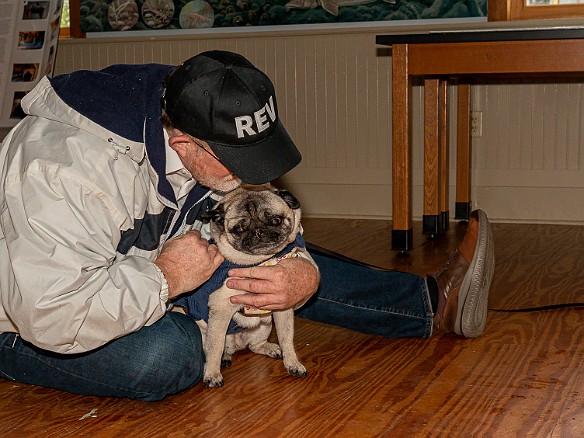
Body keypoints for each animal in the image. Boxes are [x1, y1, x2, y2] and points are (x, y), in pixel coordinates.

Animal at [192, 184, 310, 386]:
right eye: (239, 229)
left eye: (275, 220)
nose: (258, 231)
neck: (260, 262)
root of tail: (238, 345)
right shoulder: (221, 309)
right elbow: (215, 346)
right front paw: (212, 374)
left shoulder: (282, 309)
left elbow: (287, 337)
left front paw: (292, 362)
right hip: (204, 332)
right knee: (216, 347)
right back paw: (222, 359)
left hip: (263, 326)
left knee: (255, 346)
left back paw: (270, 348)